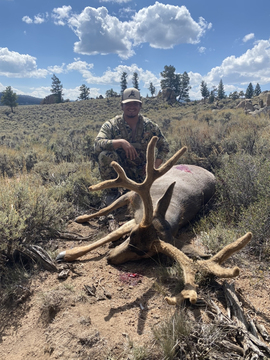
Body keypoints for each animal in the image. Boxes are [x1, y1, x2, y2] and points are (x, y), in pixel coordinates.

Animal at [56, 137, 252, 304]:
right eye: (132, 236)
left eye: (145, 253)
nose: (110, 258)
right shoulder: (133, 201)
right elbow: (109, 227)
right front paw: (67, 251)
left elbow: (113, 234)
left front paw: (67, 254)